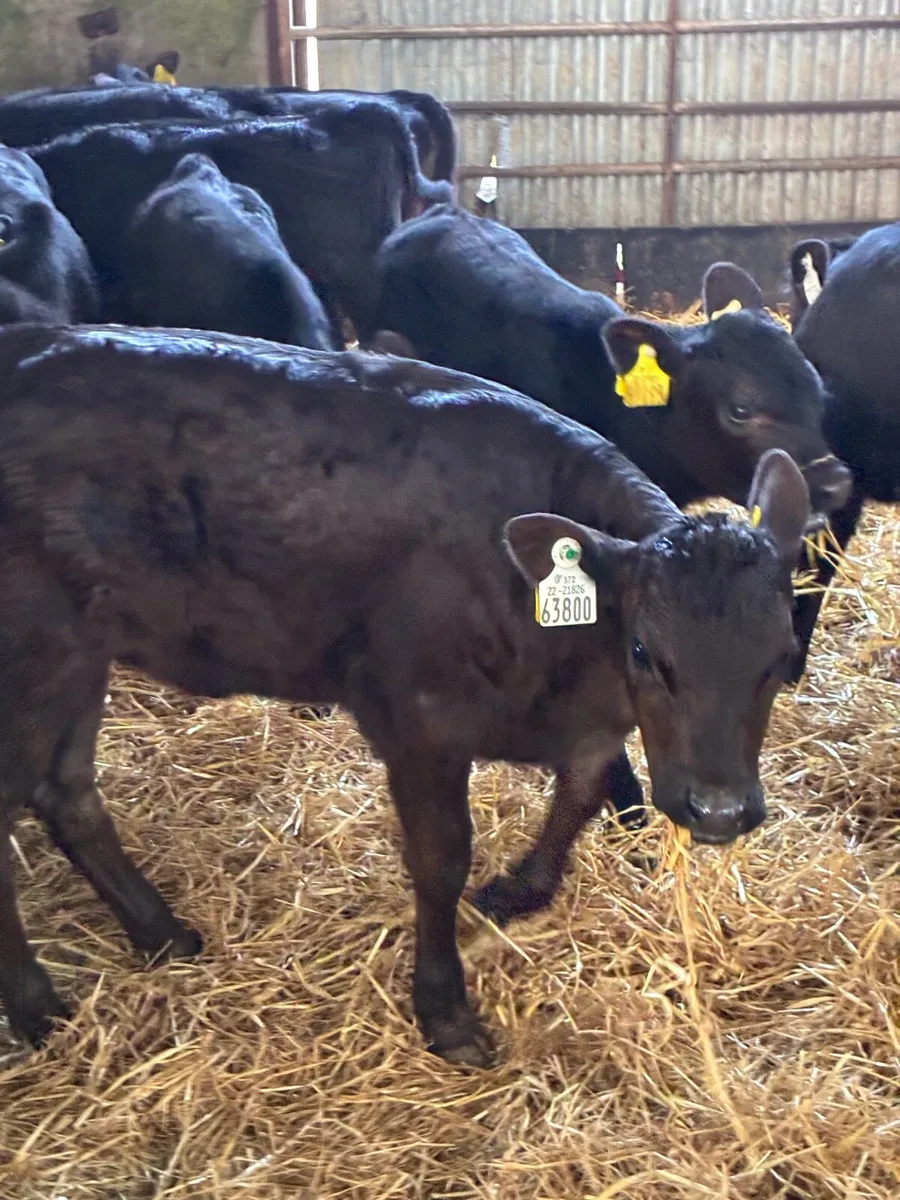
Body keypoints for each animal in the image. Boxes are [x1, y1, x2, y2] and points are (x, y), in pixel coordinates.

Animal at [0, 323, 809, 1066]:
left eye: (781, 658)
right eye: (645, 651)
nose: (718, 811)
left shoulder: (590, 725)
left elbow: (579, 796)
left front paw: (522, 891)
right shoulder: (420, 719)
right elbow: (442, 859)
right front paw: (445, 1012)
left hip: (81, 654)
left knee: (66, 791)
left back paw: (161, 934)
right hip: (34, 653)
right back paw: (40, 1009)